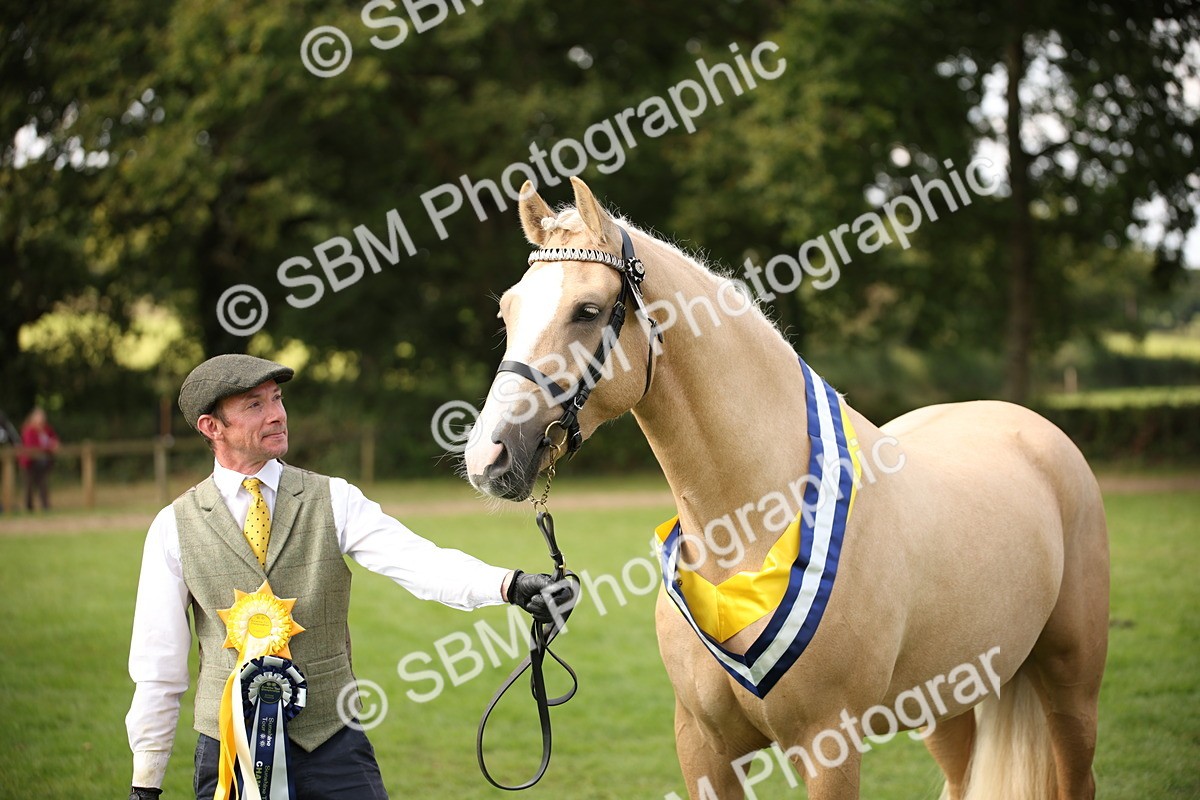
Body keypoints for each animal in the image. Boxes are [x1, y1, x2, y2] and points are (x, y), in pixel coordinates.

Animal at [462, 177, 1109, 800]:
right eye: (507, 312)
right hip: (948, 696)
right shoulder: (704, 748)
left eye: (588, 309)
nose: (488, 456)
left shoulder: (828, 745)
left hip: (1070, 683)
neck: (747, 529)